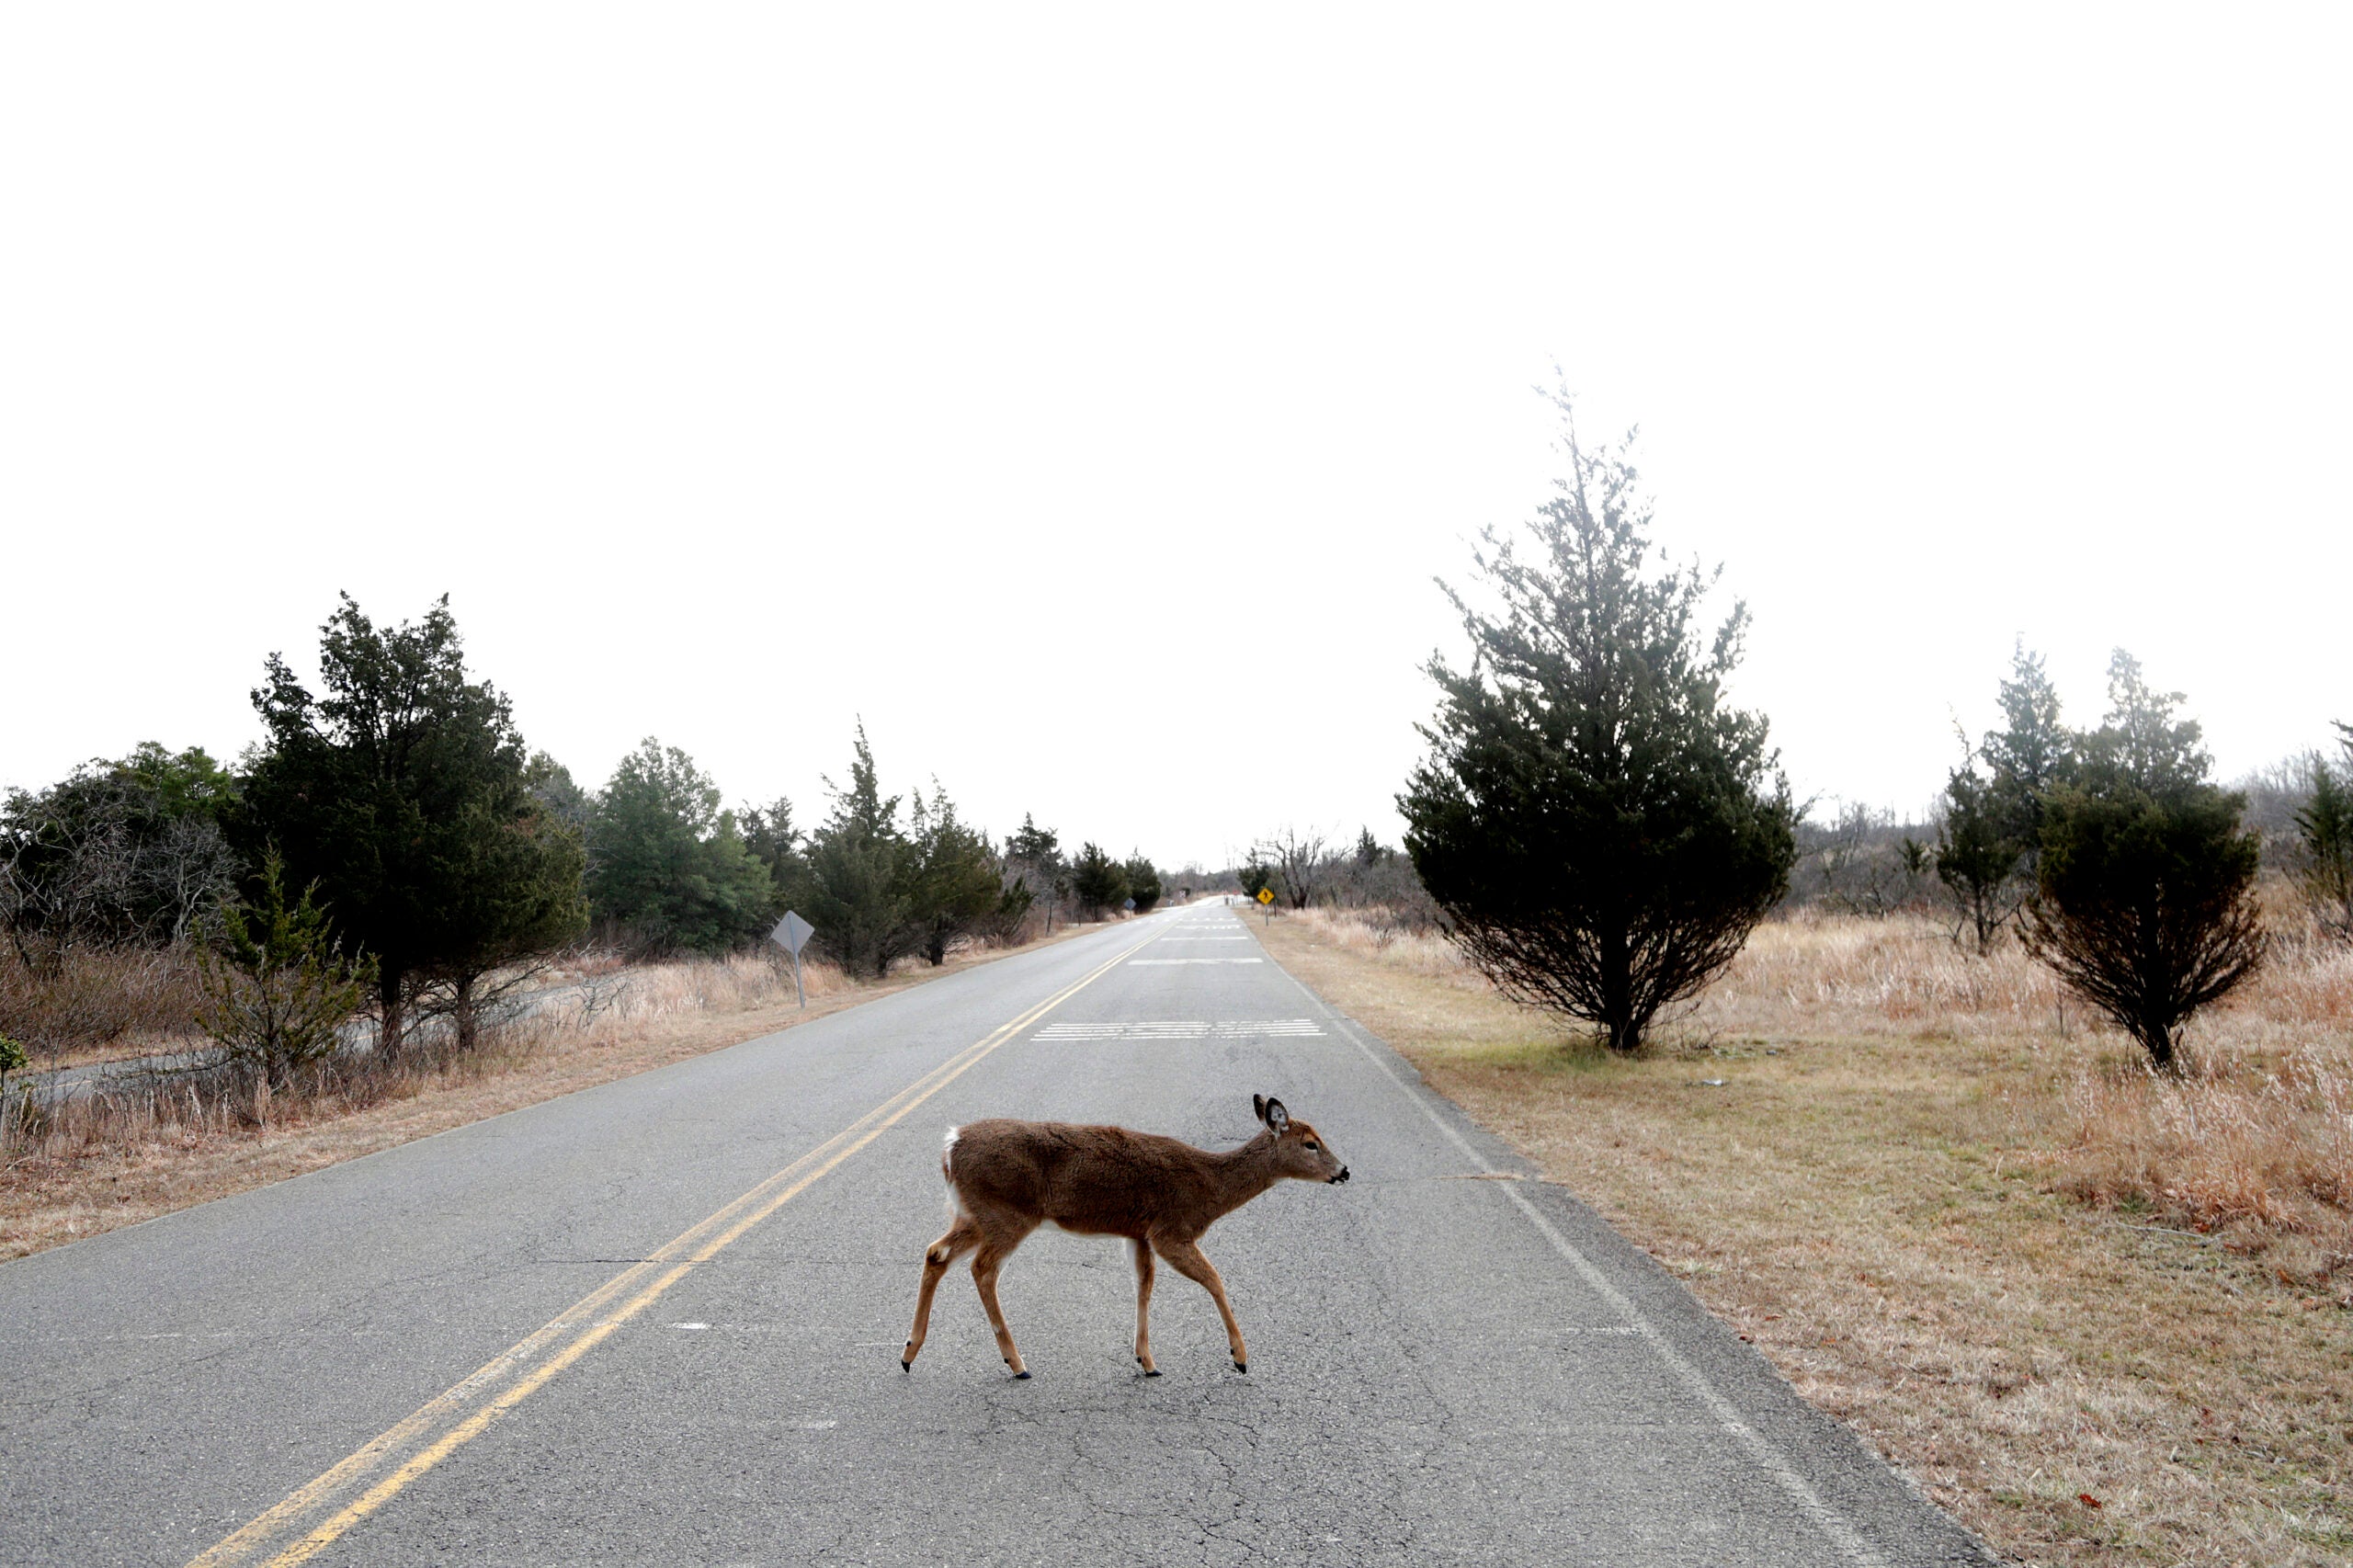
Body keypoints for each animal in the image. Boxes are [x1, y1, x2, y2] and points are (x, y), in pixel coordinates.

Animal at [900, 1095, 1349, 1379]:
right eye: (1311, 1143)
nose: (1344, 1171)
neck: (1210, 1188)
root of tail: (951, 1146)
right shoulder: (1171, 1229)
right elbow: (1214, 1279)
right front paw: (1239, 1357)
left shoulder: (1140, 1233)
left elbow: (1144, 1286)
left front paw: (1146, 1360)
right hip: (1008, 1213)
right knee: (982, 1270)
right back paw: (1017, 1364)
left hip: (975, 1214)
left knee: (936, 1253)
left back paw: (909, 1353)